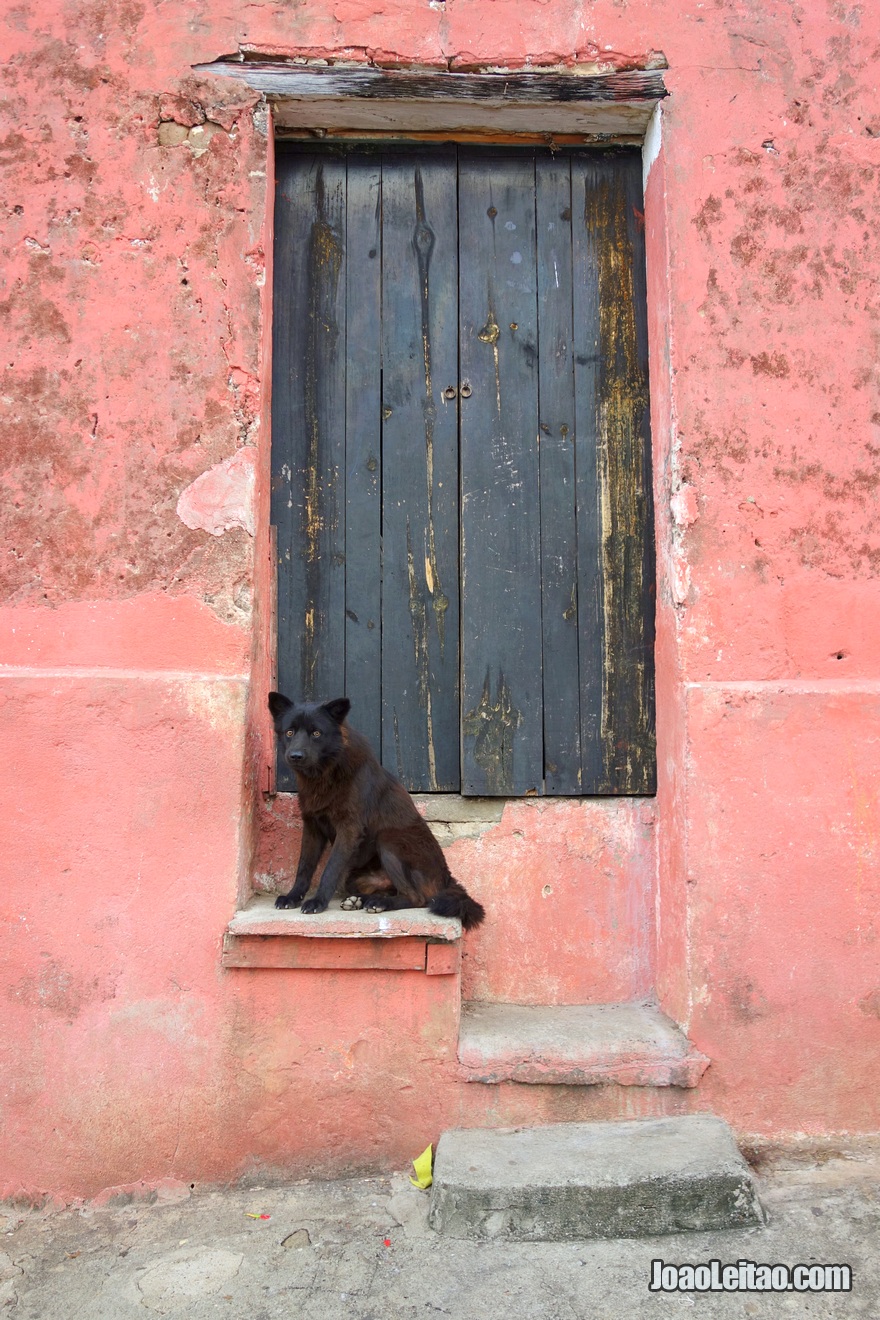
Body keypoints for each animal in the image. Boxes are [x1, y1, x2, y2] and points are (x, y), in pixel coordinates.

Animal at [270, 691, 488, 929]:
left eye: (316, 733)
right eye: (289, 732)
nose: (295, 756)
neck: (325, 773)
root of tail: (447, 879)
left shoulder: (349, 829)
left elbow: (330, 869)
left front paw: (318, 901)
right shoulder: (312, 827)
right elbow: (304, 867)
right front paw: (293, 896)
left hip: (389, 840)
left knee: (416, 898)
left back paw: (379, 903)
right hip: (354, 877)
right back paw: (361, 900)